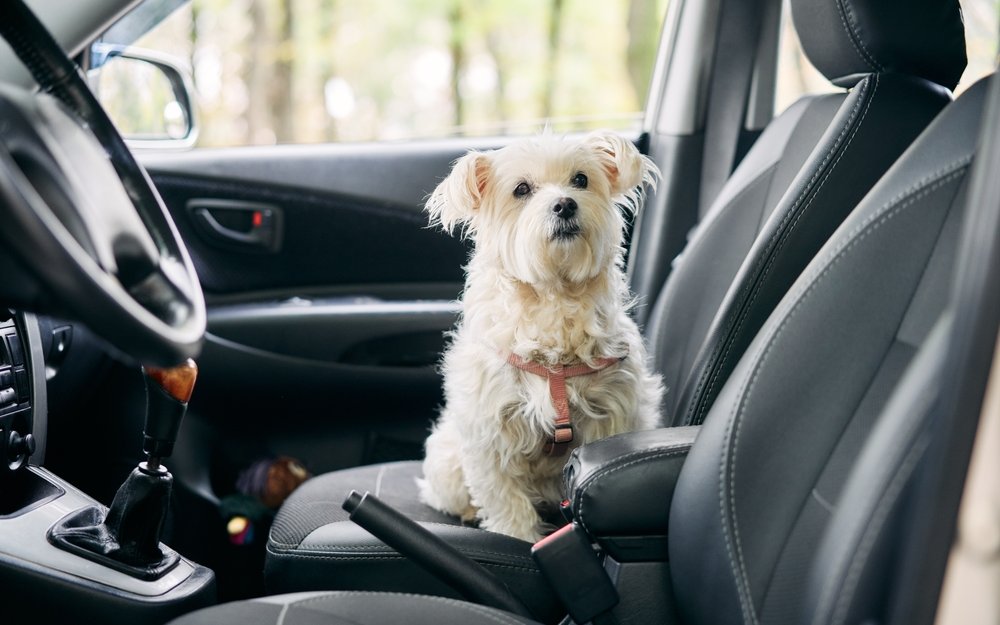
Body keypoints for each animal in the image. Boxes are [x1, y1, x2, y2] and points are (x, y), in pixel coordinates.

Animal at [416, 132, 664, 540]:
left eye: (580, 180)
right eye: (521, 189)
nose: (564, 204)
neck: (555, 296)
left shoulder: (613, 413)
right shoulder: (490, 430)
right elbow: (505, 499)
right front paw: (517, 537)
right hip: (448, 461)